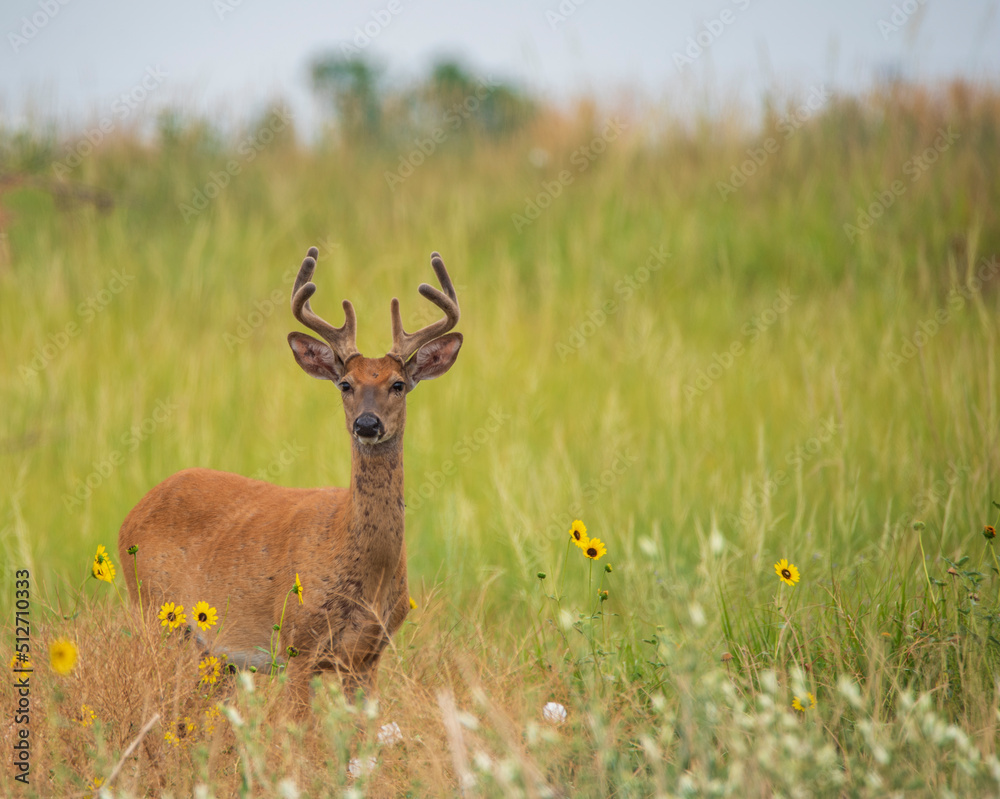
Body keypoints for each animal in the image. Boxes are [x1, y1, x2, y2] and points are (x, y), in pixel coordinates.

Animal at [118, 246, 462, 704]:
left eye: (398, 384)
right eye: (345, 384)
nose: (367, 424)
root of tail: (131, 516)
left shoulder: (367, 658)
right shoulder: (298, 643)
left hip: (216, 657)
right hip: (156, 613)